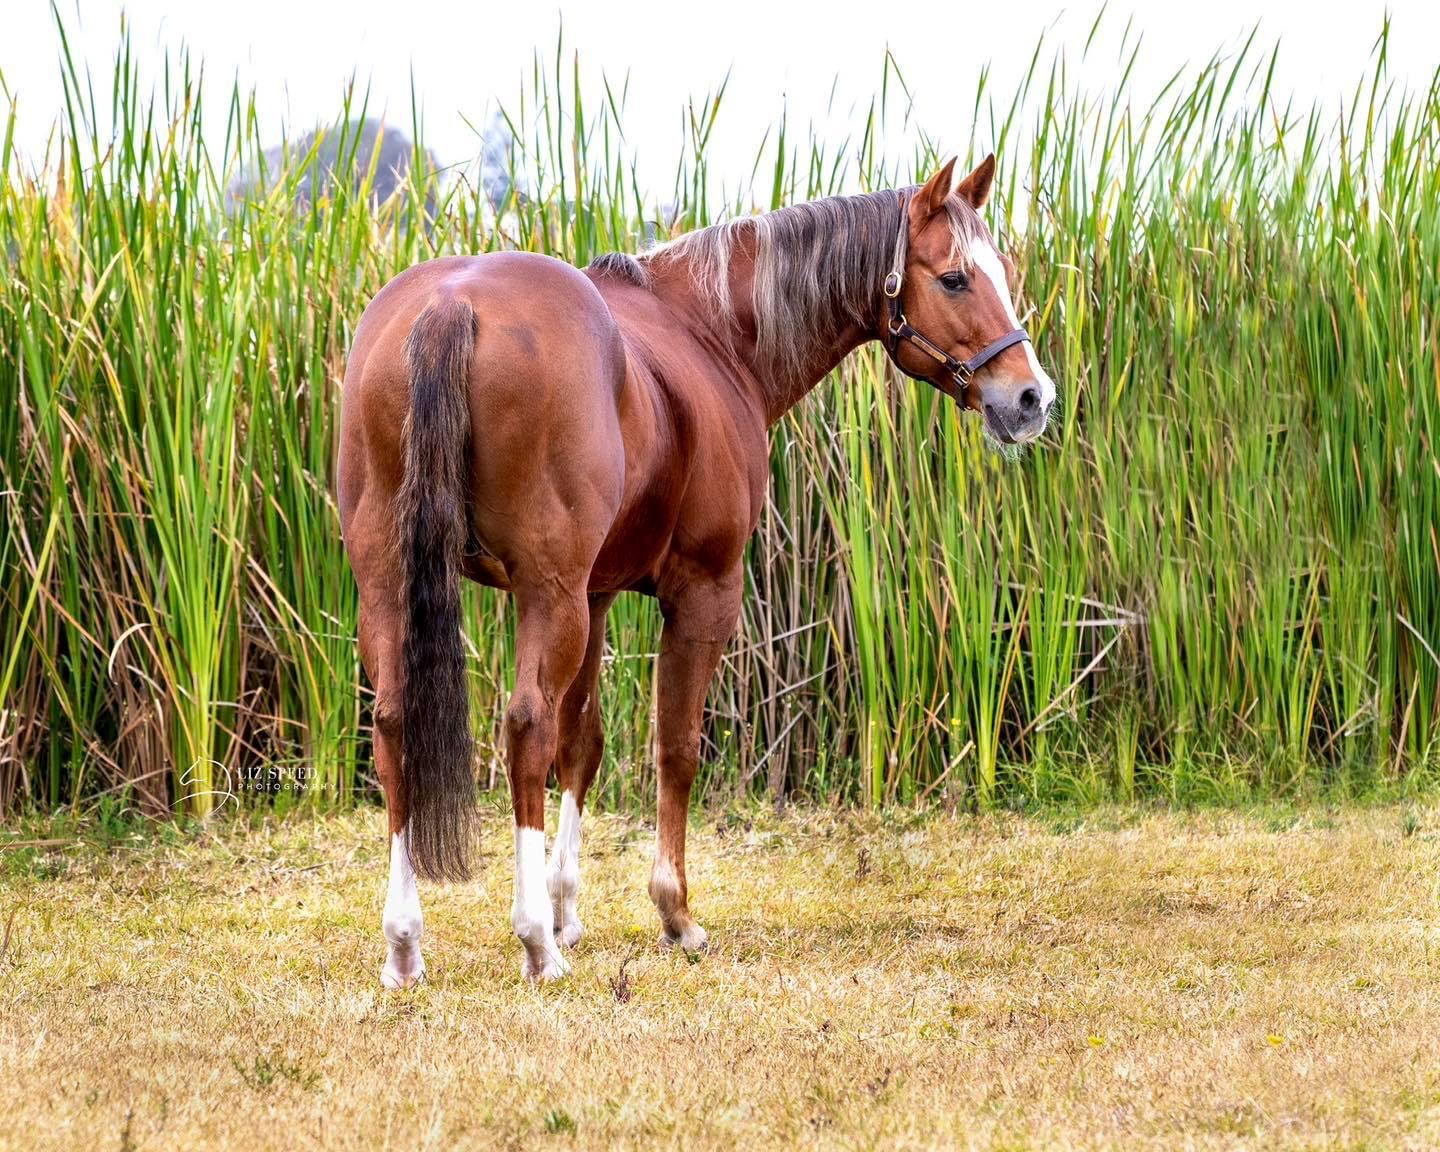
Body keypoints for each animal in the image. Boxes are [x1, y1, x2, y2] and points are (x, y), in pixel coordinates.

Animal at [337, 154, 1055, 988]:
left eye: (1001, 272)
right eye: (954, 279)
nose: (1032, 398)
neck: (710, 334)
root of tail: (453, 305)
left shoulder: (598, 594)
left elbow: (583, 742)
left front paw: (568, 904)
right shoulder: (702, 592)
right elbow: (674, 746)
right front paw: (673, 914)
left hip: (398, 582)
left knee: (398, 723)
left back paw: (405, 943)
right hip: (547, 594)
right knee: (524, 726)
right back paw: (534, 943)